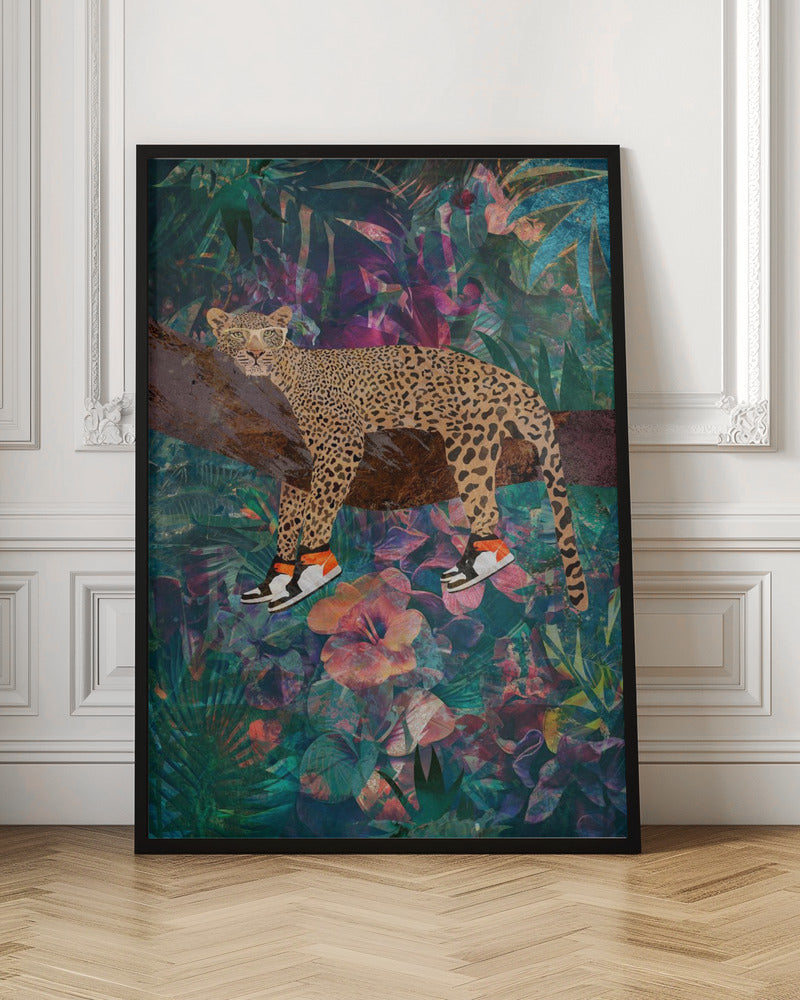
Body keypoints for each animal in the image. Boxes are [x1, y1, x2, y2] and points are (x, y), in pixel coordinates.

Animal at [206, 305, 589, 614]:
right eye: (237, 334)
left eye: (269, 334)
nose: (255, 353)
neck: (281, 374)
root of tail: (520, 385)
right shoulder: (297, 460)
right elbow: (289, 518)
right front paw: (276, 580)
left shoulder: (341, 441)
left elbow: (318, 510)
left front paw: (310, 572)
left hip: (470, 438)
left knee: (485, 505)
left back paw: (480, 563)